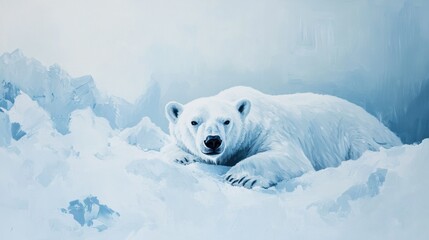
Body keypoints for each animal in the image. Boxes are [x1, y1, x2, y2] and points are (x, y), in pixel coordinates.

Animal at [163, 86, 402, 189]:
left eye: (227, 121)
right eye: (194, 122)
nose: (213, 140)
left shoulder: (269, 130)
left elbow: (289, 157)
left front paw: (240, 176)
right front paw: (182, 157)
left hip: (358, 136)